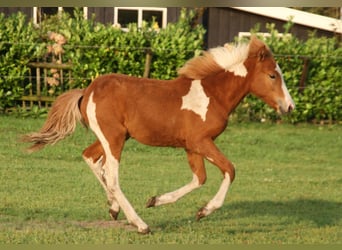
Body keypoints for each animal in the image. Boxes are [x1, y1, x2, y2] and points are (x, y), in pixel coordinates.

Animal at [25, 36, 296, 233]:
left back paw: (114, 209)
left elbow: (199, 178)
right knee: (111, 177)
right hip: (113, 139)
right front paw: (204, 210)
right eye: (272, 75)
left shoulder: (191, 146)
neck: (213, 95)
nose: (290, 106)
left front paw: (155, 200)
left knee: (91, 158)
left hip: (114, 137)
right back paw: (140, 224)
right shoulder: (200, 141)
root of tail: (87, 91)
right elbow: (229, 169)